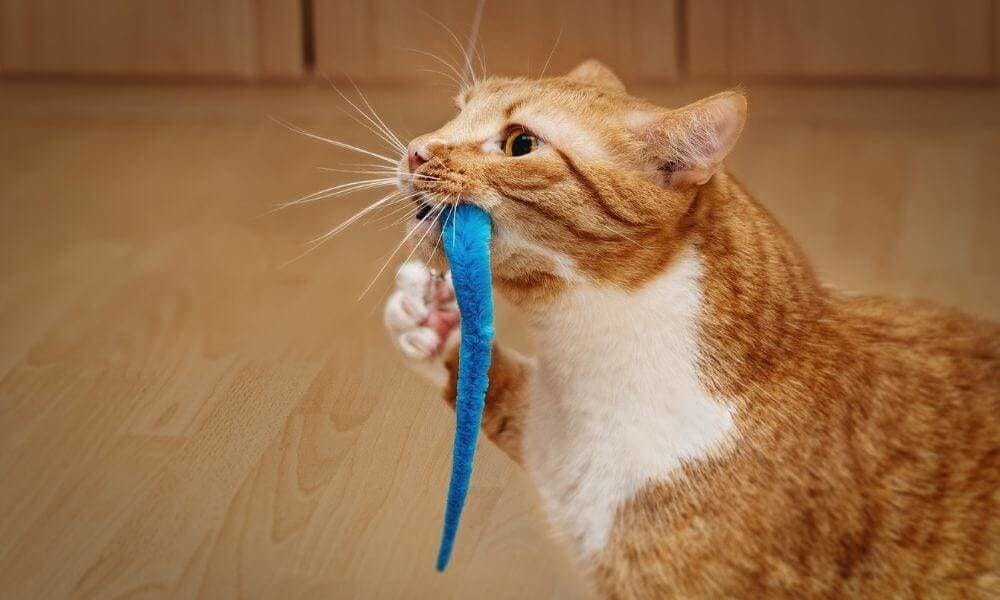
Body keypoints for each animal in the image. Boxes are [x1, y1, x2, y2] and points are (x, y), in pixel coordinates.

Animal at [378, 62, 996, 600]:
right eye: (458, 110)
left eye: (520, 145)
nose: (416, 148)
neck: (581, 369)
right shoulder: (551, 442)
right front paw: (432, 323)